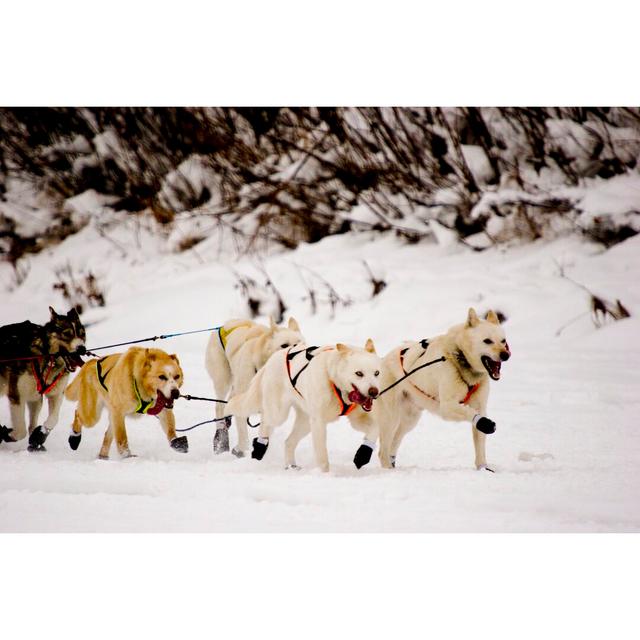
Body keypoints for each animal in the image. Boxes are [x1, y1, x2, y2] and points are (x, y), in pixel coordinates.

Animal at [228, 340, 382, 470]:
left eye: (376, 373)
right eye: (359, 373)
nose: (374, 391)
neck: (334, 382)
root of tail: (272, 359)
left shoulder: (357, 420)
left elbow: (375, 428)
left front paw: (363, 453)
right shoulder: (319, 422)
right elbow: (322, 456)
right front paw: (325, 474)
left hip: (306, 423)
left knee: (288, 442)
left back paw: (291, 467)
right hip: (279, 414)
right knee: (266, 423)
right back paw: (259, 449)